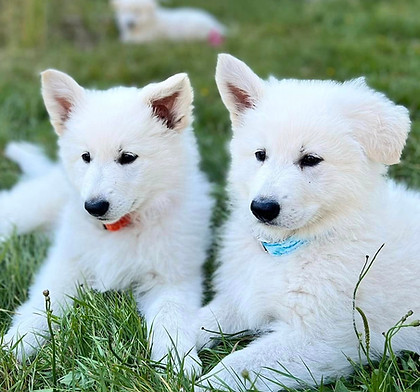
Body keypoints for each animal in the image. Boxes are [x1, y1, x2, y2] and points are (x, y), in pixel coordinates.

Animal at [2, 69, 213, 374]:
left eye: (127, 157)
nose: (94, 207)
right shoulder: (66, 265)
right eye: (86, 157)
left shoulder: (172, 277)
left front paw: (177, 364)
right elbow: (41, 308)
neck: (118, 229)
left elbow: (171, 317)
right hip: (32, 206)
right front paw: (15, 343)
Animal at [197, 53, 420, 390]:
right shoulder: (243, 297)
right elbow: (194, 319)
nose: (262, 209)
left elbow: (235, 366)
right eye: (260, 154)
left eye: (311, 160)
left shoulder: (324, 339)